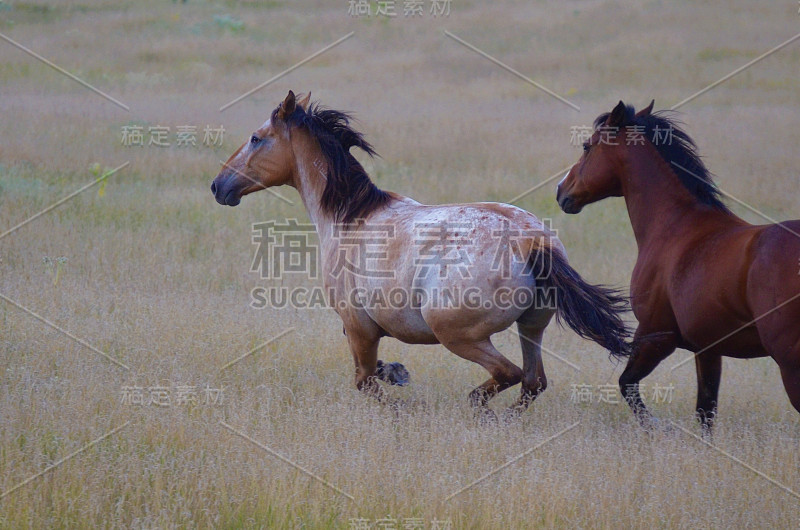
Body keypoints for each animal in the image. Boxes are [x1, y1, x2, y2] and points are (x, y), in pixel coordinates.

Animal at [212, 89, 632, 412]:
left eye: (256, 138)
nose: (219, 186)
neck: (350, 218)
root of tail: (530, 240)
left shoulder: (359, 327)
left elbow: (365, 381)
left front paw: (401, 398)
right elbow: (374, 374)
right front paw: (397, 372)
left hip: (458, 335)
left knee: (508, 375)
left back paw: (478, 410)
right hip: (531, 327)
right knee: (533, 382)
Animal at [556, 101, 800, 432]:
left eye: (587, 146)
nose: (561, 192)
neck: (675, 225)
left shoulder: (657, 334)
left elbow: (627, 384)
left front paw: (657, 430)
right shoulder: (707, 349)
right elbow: (705, 412)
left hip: (789, 362)